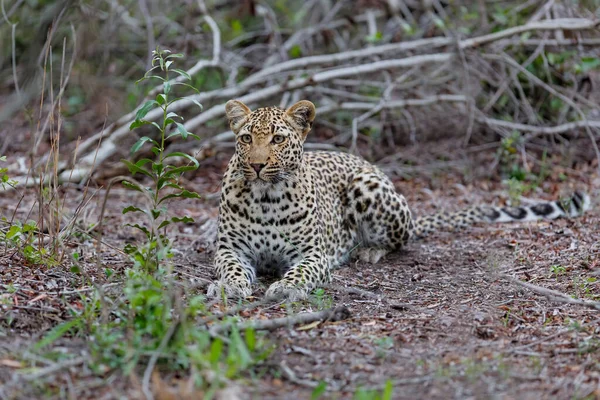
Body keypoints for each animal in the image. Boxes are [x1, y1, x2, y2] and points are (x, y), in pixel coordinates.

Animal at [206, 99, 592, 300]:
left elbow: (301, 271)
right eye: (246, 138)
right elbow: (230, 267)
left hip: (367, 188)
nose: (257, 166)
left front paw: (286, 289)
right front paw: (228, 286)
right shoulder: (231, 249)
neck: (266, 199)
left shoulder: (312, 253)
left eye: (278, 139)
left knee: (400, 240)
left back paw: (368, 251)